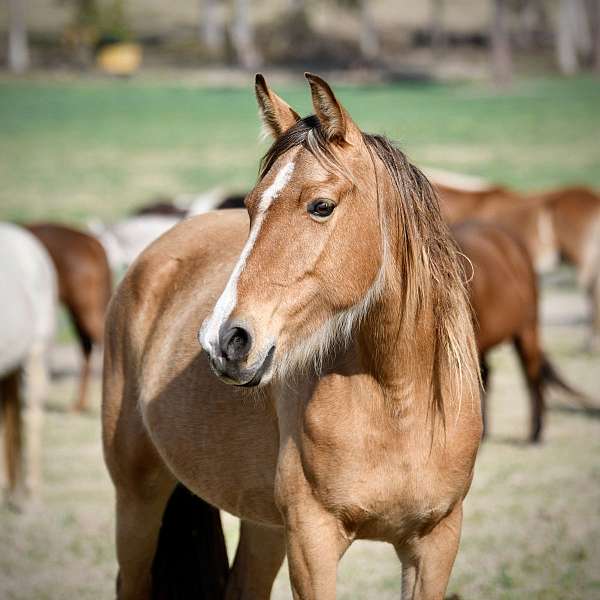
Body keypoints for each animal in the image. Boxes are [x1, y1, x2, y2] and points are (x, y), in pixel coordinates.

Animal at [101, 72, 480, 596]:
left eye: (321, 206)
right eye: (249, 205)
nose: (224, 339)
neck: (399, 401)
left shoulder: (436, 542)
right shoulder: (312, 542)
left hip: (261, 523)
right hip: (137, 498)